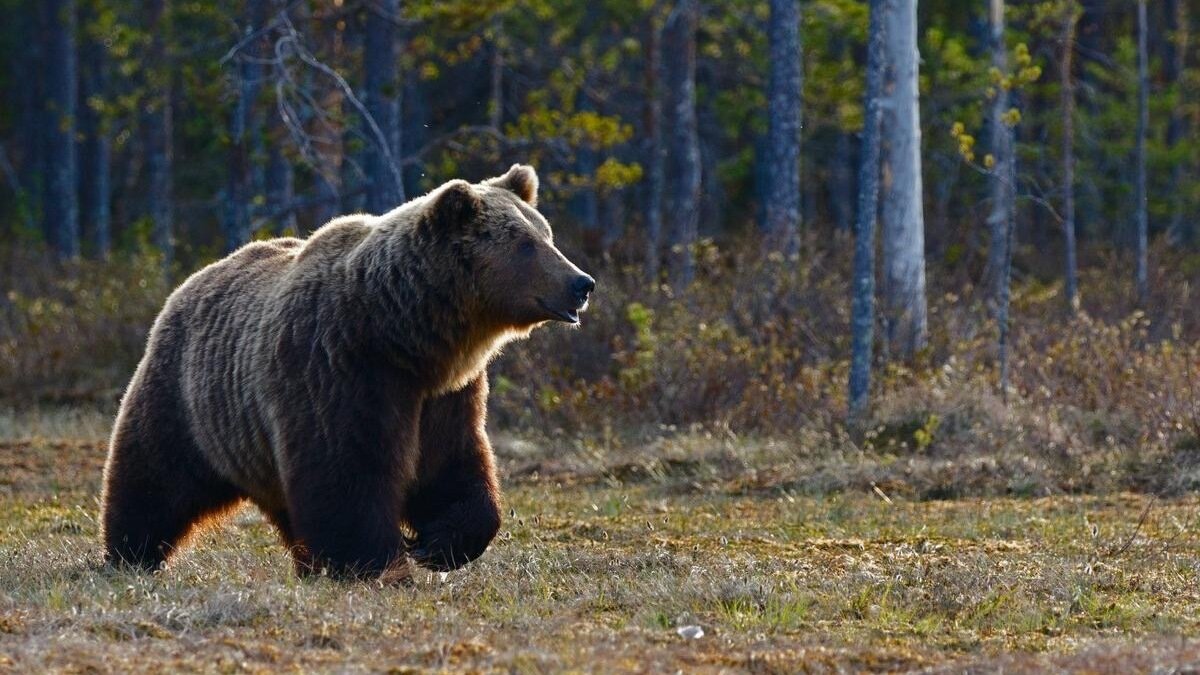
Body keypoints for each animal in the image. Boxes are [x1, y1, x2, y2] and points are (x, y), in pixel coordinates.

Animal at [100, 164, 592, 578]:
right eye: (525, 244)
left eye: (546, 234)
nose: (582, 283)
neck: (404, 336)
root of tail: (192, 280)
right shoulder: (339, 369)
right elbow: (347, 472)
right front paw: (376, 562)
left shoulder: (445, 394)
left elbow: (452, 465)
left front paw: (437, 544)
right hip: (189, 398)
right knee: (153, 476)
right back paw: (130, 554)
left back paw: (306, 563)